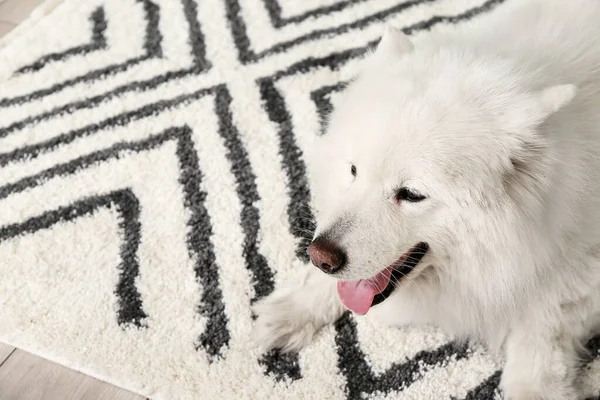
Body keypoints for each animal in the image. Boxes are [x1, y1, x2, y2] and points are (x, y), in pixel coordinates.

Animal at [254, 1, 600, 398]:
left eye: (412, 194)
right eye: (354, 170)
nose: (320, 256)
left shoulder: (580, 275)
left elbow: (542, 328)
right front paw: (294, 309)